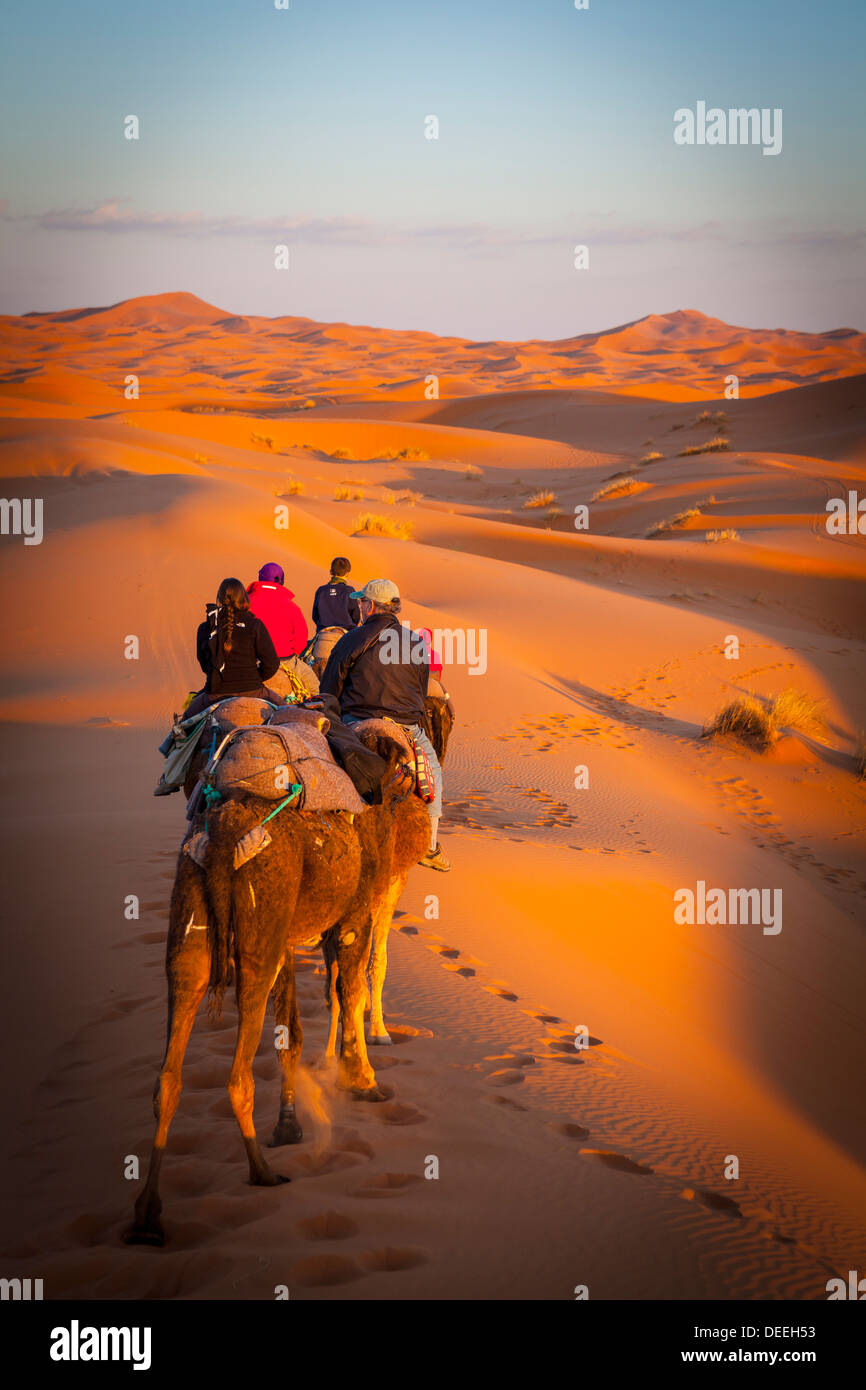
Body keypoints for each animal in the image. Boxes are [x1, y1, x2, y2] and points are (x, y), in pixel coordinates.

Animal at [127, 739, 428, 1251]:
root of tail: (225, 836)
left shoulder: (288, 933)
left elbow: (293, 1027)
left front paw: (292, 1122)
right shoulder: (353, 912)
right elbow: (350, 988)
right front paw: (362, 1080)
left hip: (191, 921)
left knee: (167, 1073)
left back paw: (148, 1217)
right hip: (258, 919)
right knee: (238, 1072)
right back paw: (262, 1171)